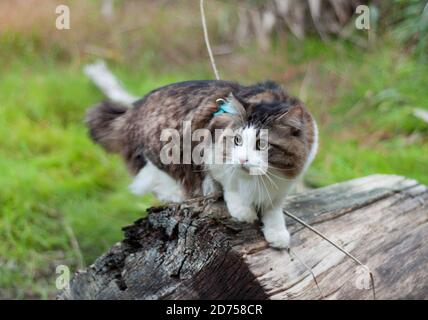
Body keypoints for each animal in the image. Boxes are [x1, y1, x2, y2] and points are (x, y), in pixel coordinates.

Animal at [85, 80, 318, 250]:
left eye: (261, 144)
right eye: (237, 140)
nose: (242, 160)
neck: (260, 178)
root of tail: (133, 109)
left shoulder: (281, 187)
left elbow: (273, 209)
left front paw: (277, 233)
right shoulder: (212, 155)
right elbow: (230, 187)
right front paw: (243, 212)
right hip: (164, 151)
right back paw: (180, 194)